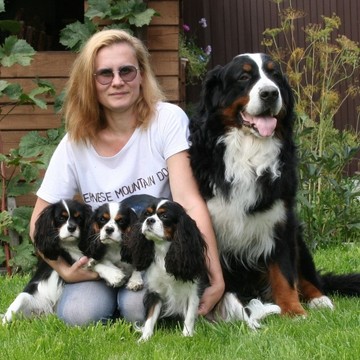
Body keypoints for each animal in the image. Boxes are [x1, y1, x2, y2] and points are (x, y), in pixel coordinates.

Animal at [188, 52, 360, 316]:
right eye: (244, 76)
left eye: (275, 75)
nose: (270, 93)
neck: (248, 153)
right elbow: (213, 279)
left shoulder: (281, 220)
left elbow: (284, 272)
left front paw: (294, 311)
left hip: (299, 236)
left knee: (308, 277)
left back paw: (319, 299)